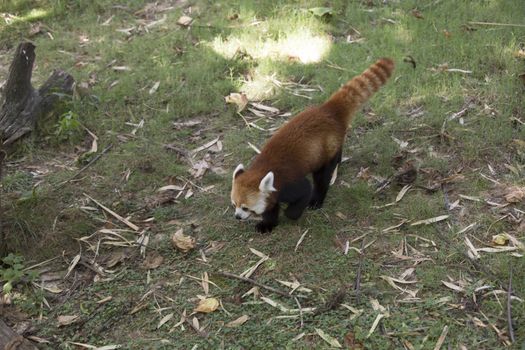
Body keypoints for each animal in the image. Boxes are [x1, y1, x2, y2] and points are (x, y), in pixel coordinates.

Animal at [229, 57, 392, 232]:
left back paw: (317, 200)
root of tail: (327, 110)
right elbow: (271, 208)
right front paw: (267, 224)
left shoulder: (287, 183)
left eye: (245, 207)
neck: (264, 169)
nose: (237, 216)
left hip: (324, 153)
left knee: (322, 177)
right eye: (234, 204)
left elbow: (304, 191)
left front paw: (291, 213)